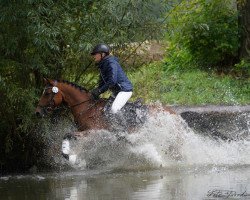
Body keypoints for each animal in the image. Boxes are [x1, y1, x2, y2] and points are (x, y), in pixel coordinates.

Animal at [35, 78, 176, 164]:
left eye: (47, 93)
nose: (37, 112)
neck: (87, 108)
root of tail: (169, 111)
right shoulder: (83, 132)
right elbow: (69, 138)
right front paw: (75, 159)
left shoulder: (92, 132)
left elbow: (68, 135)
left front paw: (73, 158)